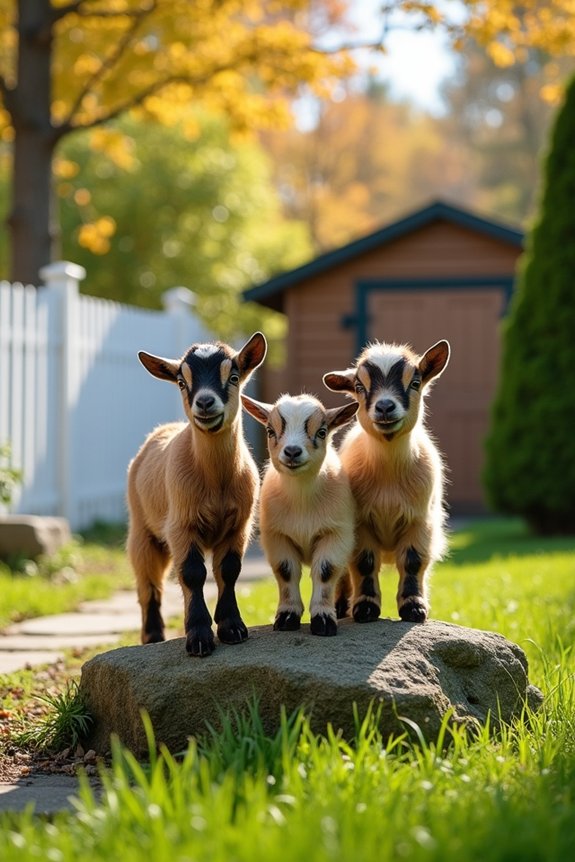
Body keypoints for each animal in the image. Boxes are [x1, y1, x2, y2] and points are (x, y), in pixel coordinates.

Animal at [127, 332, 267, 657]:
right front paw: (199, 638)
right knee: (149, 582)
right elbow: (192, 573)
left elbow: (228, 570)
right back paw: (153, 636)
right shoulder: (181, 526)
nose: (204, 402)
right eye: (181, 381)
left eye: (234, 377)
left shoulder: (238, 527)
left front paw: (232, 627)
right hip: (143, 531)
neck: (215, 480)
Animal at [241, 393, 358, 635]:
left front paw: (324, 620)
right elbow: (286, 572)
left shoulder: (336, 534)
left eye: (322, 432)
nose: (292, 451)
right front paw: (287, 617)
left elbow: (326, 571)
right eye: (270, 431)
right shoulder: (276, 537)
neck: (301, 500)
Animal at [323, 339, 450, 624]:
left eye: (415, 381)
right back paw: (341, 606)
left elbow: (413, 561)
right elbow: (364, 562)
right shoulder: (361, 524)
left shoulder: (420, 522)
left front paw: (414, 608)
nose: (384, 407)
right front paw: (365, 608)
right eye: (359, 386)